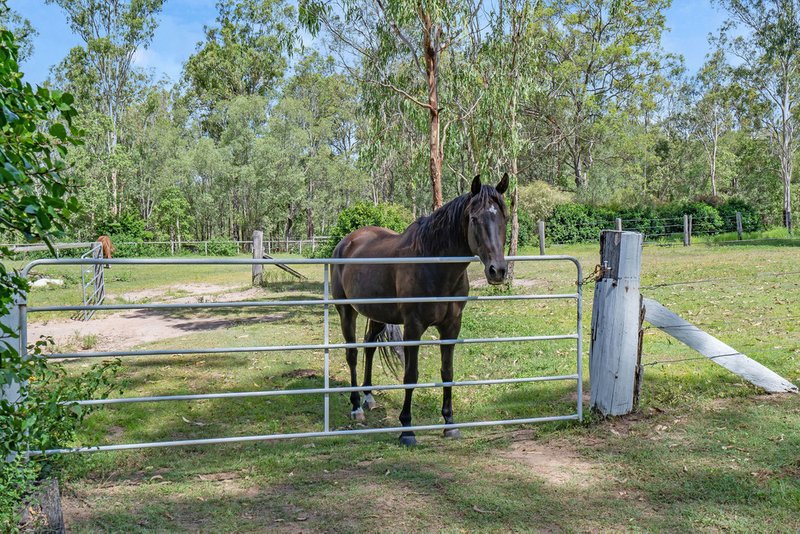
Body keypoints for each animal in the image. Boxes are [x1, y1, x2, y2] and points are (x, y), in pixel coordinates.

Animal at [330, 174, 506, 446]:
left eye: (503, 217)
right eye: (475, 219)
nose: (497, 271)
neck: (433, 263)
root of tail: (346, 242)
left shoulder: (451, 326)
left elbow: (447, 372)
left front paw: (450, 424)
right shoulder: (414, 326)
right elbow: (410, 375)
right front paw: (407, 429)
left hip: (377, 313)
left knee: (369, 346)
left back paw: (369, 397)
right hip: (346, 311)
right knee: (352, 354)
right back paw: (356, 407)